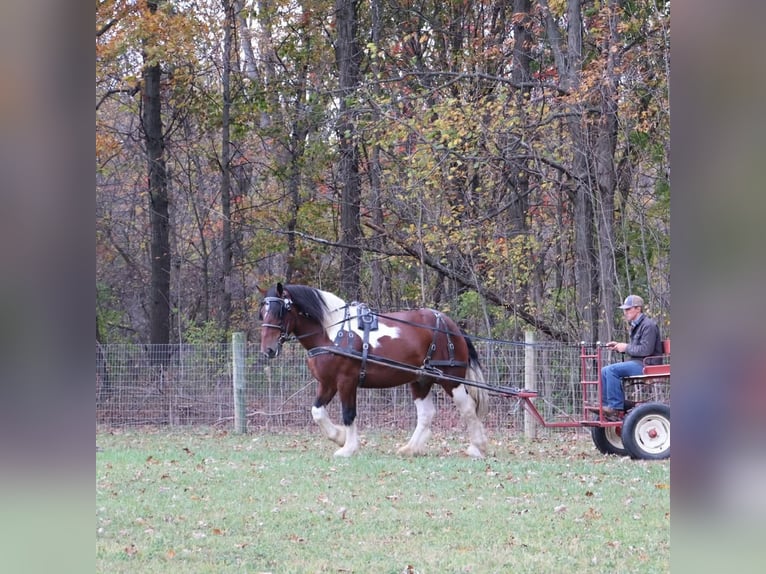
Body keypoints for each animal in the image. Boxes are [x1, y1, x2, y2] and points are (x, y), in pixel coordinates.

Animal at [258, 282, 489, 458]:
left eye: (280, 312)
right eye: (262, 313)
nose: (267, 350)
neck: (333, 333)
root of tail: (451, 326)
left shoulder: (346, 381)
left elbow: (348, 413)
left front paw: (348, 448)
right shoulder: (327, 383)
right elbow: (317, 412)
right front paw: (339, 437)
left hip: (451, 378)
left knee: (468, 407)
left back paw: (477, 447)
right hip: (421, 380)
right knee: (426, 414)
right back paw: (410, 448)